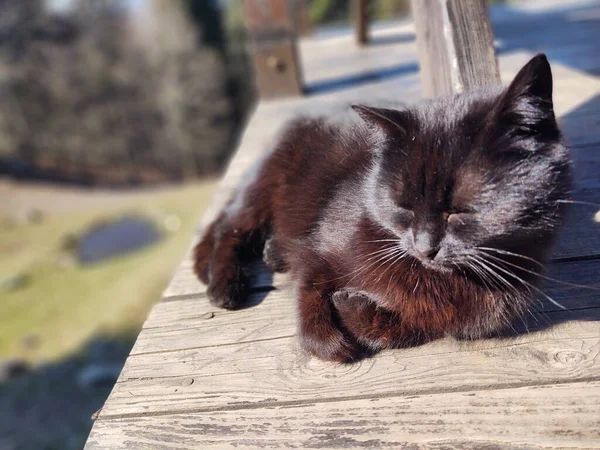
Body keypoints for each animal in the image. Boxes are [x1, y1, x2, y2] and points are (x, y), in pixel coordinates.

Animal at [193, 54, 572, 362]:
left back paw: (274, 253)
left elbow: (404, 327)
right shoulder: (322, 247)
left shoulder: (462, 316)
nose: (425, 247)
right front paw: (330, 340)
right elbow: (309, 287)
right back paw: (223, 285)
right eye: (404, 207)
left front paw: (350, 305)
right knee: (229, 228)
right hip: (266, 184)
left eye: (461, 211)